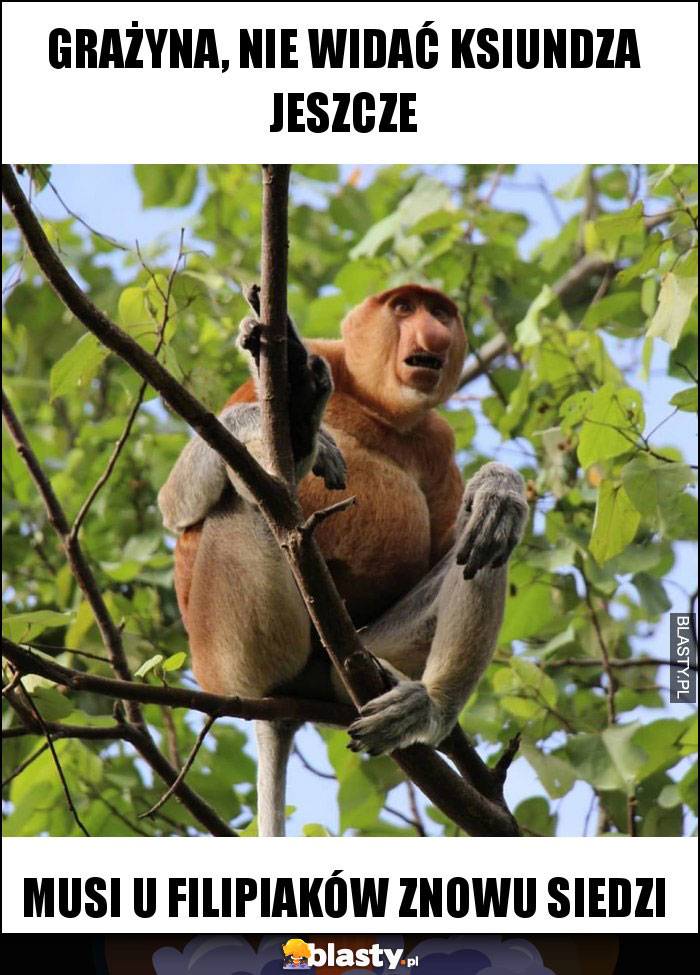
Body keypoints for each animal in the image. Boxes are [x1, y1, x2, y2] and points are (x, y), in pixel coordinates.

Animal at [159, 286, 528, 836]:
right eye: (404, 309)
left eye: (440, 314)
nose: (434, 332)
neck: (379, 409)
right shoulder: (320, 358)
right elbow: (177, 503)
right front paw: (290, 392)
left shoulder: (437, 437)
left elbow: (449, 543)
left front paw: (499, 488)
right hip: (226, 648)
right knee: (240, 497)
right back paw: (294, 442)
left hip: (361, 652)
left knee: (483, 550)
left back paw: (423, 706)